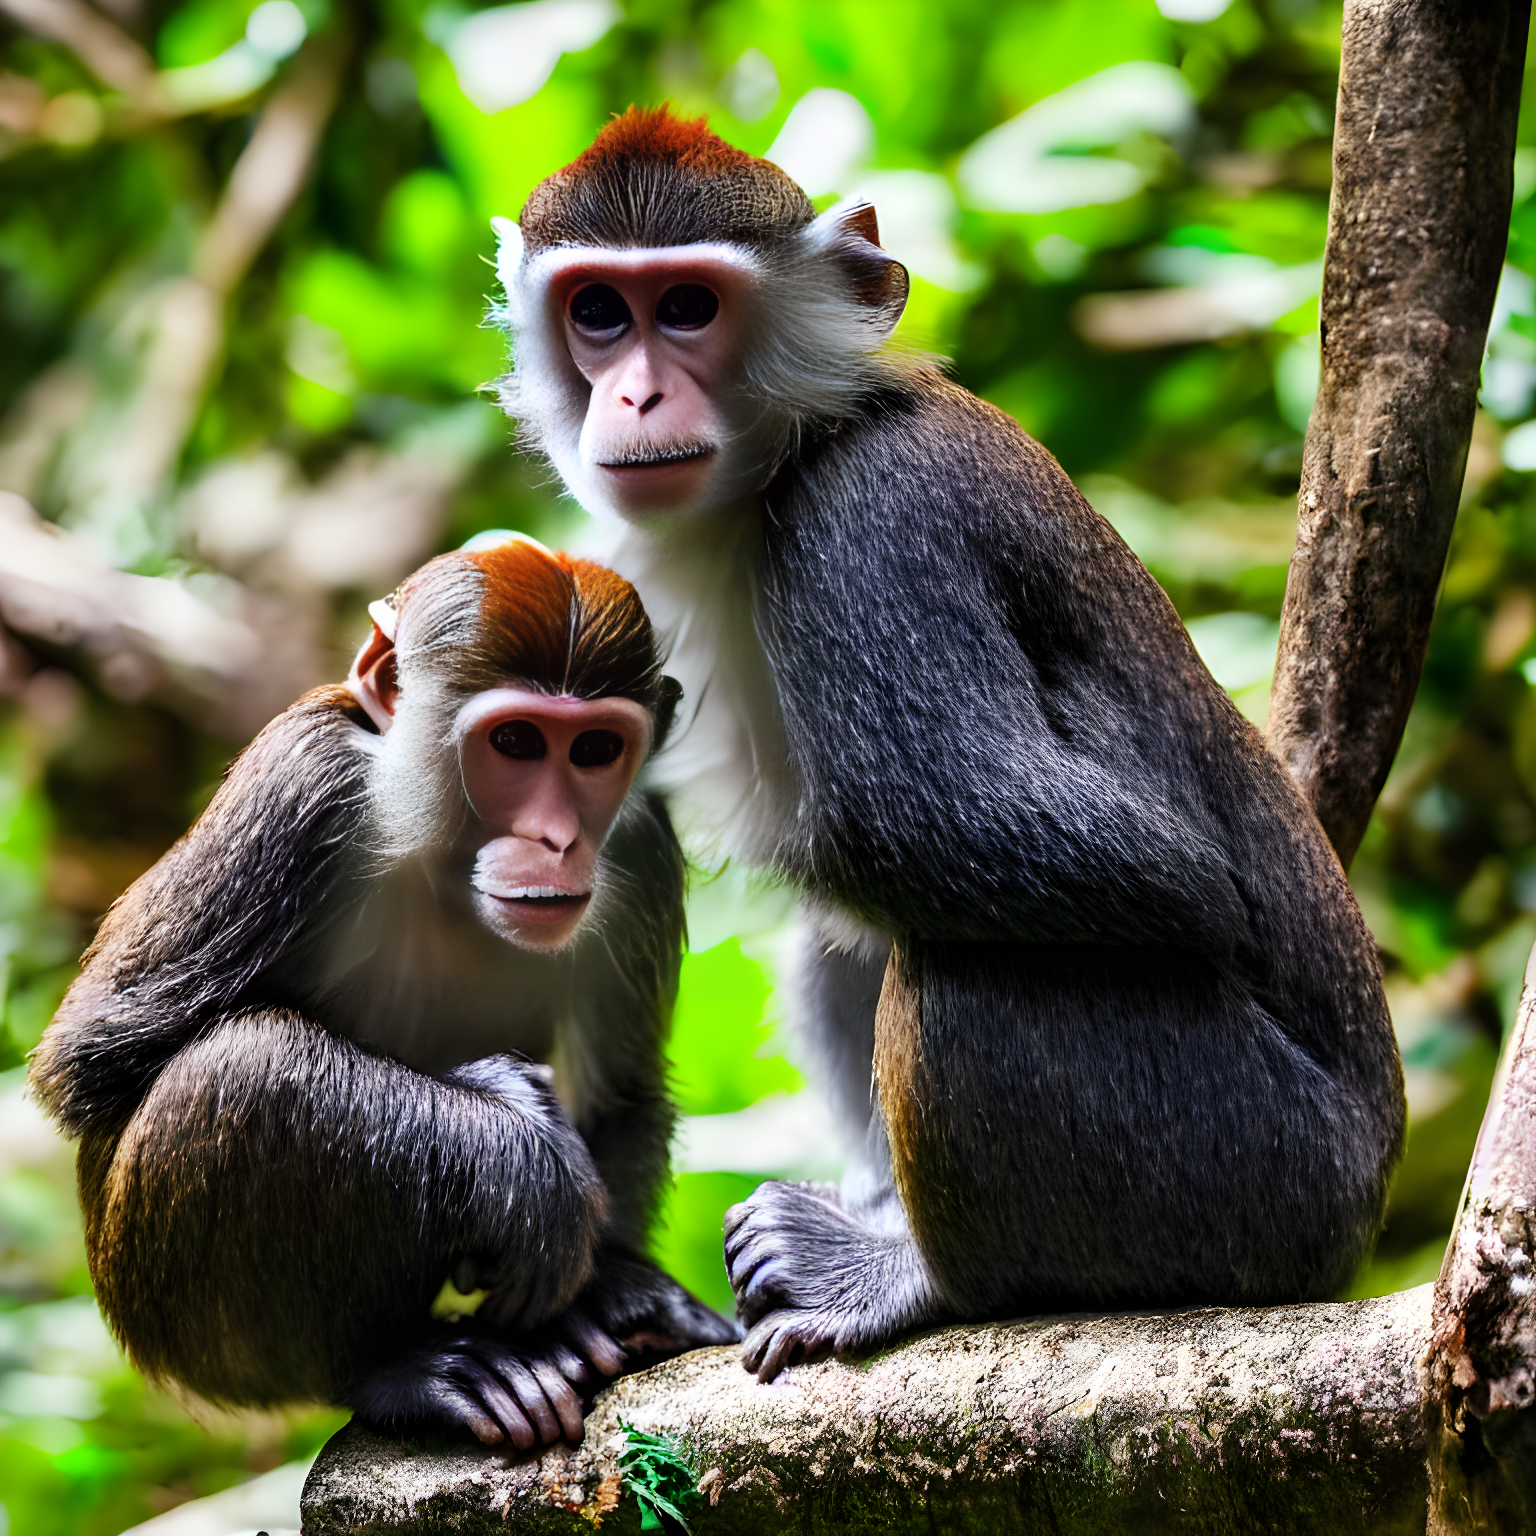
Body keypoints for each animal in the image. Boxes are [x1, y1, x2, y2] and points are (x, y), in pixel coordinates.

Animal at [28, 534, 737, 1443]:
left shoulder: (643, 840)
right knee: (243, 1071)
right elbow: (94, 1059)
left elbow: (621, 1090)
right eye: (515, 741)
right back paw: (402, 1371)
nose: (557, 838)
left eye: (593, 752)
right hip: (179, 1328)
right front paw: (518, 1146)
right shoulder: (301, 781)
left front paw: (609, 1291)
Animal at [491, 108, 1406, 1382]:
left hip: (1256, 1172)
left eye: (685, 307)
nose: (630, 398)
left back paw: (918, 1277)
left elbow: (1061, 848)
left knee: (965, 954)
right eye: (597, 314)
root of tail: (1362, 1201)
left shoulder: (871, 519)